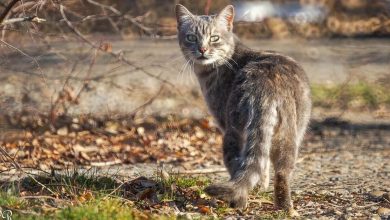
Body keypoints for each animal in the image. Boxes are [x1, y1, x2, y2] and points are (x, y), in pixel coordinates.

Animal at [175, 4, 312, 216]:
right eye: (191, 37)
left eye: (214, 38)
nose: (202, 49)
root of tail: (266, 83)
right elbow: (263, 166)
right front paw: (261, 187)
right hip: (290, 134)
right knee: (281, 171)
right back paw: (286, 209)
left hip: (233, 132)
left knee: (237, 166)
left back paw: (238, 202)